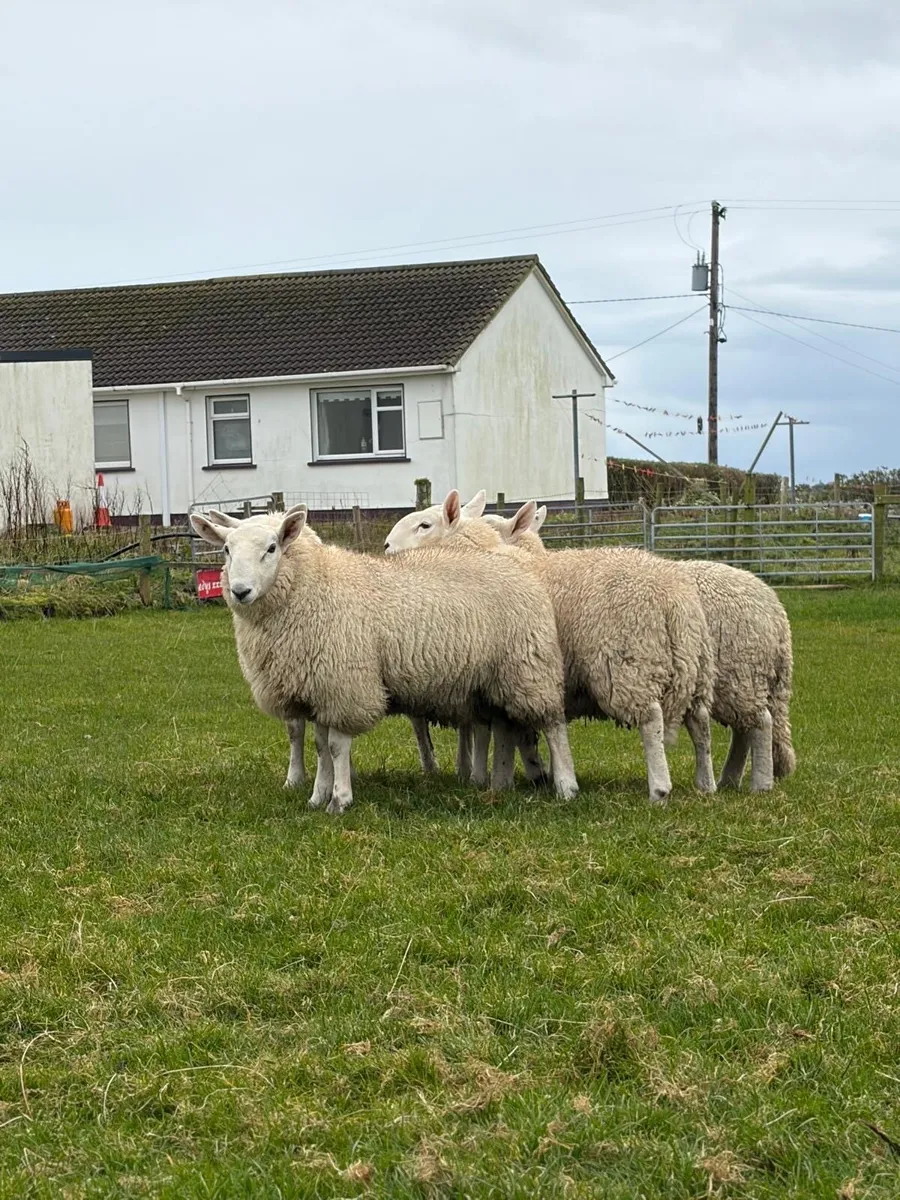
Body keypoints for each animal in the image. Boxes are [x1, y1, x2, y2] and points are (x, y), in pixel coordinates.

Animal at [189, 504, 579, 815]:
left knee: (553, 724)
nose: (240, 591)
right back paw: (497, 782)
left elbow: (335, 746)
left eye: (271, 548)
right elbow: (319, 746)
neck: (309, 588)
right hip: (489, 680)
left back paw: (565, 786)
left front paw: (340, 799)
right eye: (226, 549)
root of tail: (516, 562)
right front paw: (317, 796)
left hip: (528, 666)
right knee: (502, 725)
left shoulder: (345, 683)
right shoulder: (317, 685)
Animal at [394, 498, 716, 804]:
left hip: (628, 663)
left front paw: (490, 777)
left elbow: (492, 730)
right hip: (696, 667)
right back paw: (706, 783)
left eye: (425, 525)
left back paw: (659, 789)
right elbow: (506, 731)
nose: (388, 547)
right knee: (700, 721)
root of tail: (674, 598)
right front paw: (518, 776)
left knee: (651, 720)